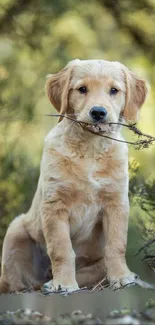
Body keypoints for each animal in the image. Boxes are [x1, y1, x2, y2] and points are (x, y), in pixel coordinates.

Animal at [0, 58, 148, 294]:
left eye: (114, 90)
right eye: (82, 89)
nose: (98, 112)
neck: (90, 149)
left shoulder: (116, 203)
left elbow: (116, 245)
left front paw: (122, 278)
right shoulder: (55, 205)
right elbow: (61, 249)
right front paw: (64, 284)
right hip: (15, 231)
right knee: (17, 282)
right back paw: (44, 284)